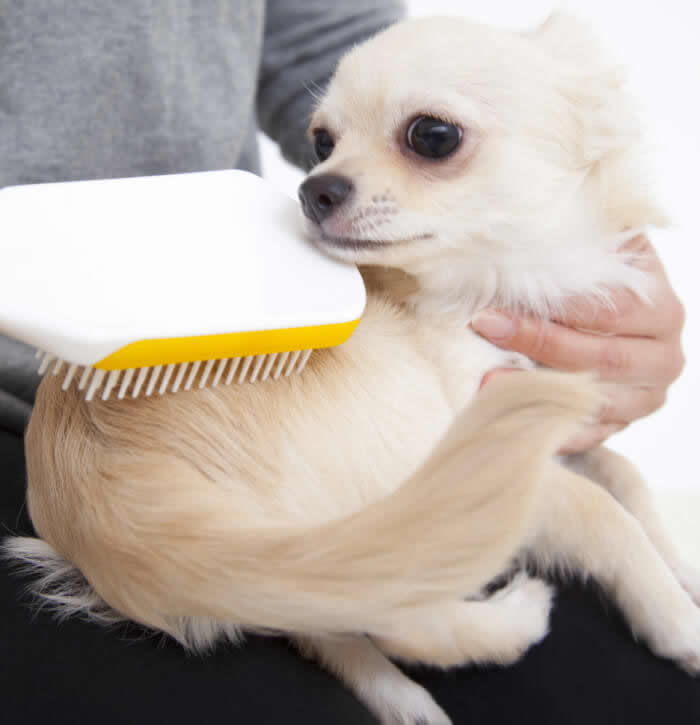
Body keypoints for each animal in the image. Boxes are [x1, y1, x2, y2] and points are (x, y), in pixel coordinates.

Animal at [5, 11, 700, 724]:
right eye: (323, 142)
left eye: (432, 136)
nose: (313, 189)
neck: (499, 281)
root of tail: (122, 514)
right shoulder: (501, 436)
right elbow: (607, 514)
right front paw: (678, 620)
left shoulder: (563, 412)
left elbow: (623, 474)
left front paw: (682, 568)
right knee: (397, 613)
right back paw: (511, 624)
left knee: (320, 617)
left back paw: (400, 698)